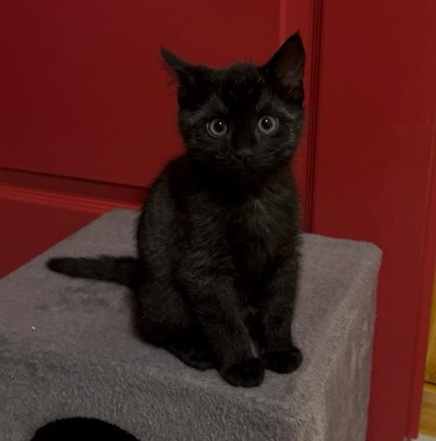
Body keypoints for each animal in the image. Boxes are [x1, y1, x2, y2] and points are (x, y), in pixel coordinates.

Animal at [48, 32, 305, 388]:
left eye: (267, 123)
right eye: (218, 126)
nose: (244, 152)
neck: (249, 197)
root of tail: (140, 276)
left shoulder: (285, 254)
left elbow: (280, 303)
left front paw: (279, 349)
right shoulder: (201, 264)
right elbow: (223, 317)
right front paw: (242, 363)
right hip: (164, 293)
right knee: (155, 328)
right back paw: (197, 350)